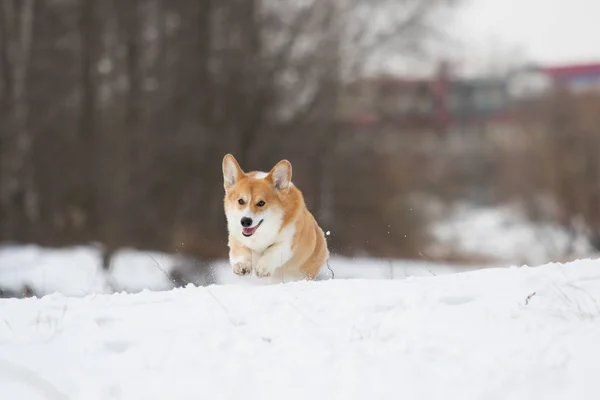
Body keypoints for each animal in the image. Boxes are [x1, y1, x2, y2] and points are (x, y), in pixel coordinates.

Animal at [223, 153, 330, 282]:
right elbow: (239, 250)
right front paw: (241, 266)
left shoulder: (288, 241)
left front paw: (262, 269)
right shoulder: (236, 235)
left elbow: (273, 251)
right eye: (240, 201)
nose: (245, 221)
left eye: (261, 203)